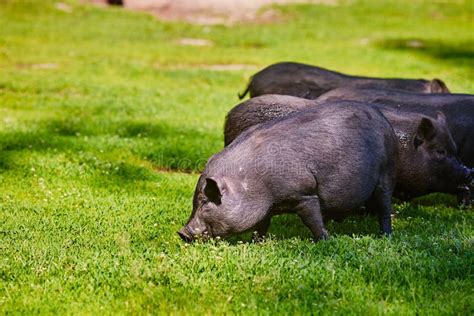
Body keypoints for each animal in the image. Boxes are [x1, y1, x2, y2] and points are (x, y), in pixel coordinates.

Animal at [180, 102, 398, 242]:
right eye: (195, 201)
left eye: (207, 200)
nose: (181, 233)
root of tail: (382, 118)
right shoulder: (266, 208)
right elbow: (261, 226)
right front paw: (255, 242)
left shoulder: (305, 193)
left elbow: (311, 221)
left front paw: (325, 241)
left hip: (386, 171)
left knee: (384, 206)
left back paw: (385, 236)